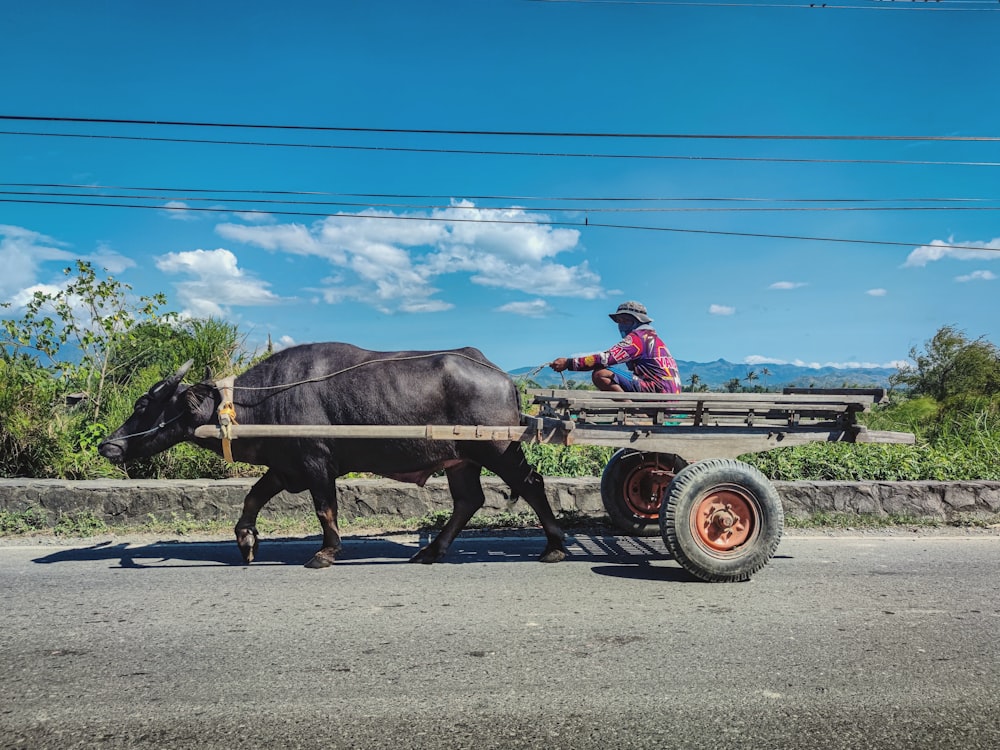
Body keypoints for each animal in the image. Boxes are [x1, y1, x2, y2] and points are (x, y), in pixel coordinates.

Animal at [97, 344, 568, 568]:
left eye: (143, 403)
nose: (109, 445)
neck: (261, 401)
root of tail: (502, 377)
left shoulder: (316, 465)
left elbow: (325, 510)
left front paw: (325, 552)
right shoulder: (284, 468)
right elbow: (252, 497)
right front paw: (246, 541)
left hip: (498, 449)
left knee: (531, 484)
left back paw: (555, 545)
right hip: (460, 461)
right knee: (468, 500)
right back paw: (430, 551)